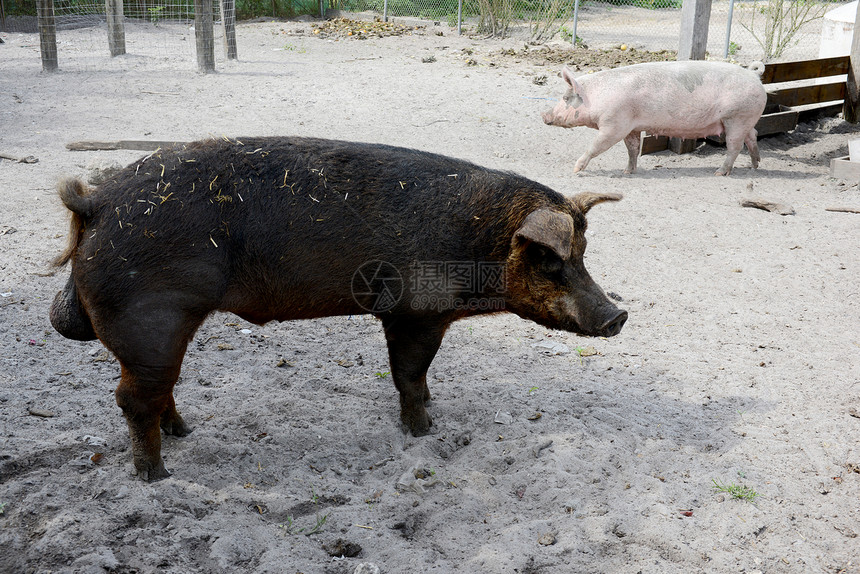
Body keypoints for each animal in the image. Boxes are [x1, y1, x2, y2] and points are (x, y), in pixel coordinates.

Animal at [50, 138, 624, 482]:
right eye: (551, 261)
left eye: (583, 253)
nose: (617, 317)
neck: (482, 243)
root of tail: (94, 203)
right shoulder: (414, 312)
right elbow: (409, 374)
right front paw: (423, 432)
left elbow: (419, 377)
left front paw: (433, 409)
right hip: (148, 323)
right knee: (131, 399)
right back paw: (157, 476)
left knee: (158, 390)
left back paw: (184, 434)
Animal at [544, 62, 764, 177]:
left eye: (565, 98)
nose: (544, 115)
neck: (595, 98)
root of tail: (754, 75)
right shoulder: (631, 127)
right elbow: (633, 149)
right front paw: (628, 171)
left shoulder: (614, 124)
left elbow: (596, 146)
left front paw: (575, 169)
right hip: (745, 120)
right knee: (753, 135)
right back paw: (755, 165)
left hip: (737, 117)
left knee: (735, 147)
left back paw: (720, 172)